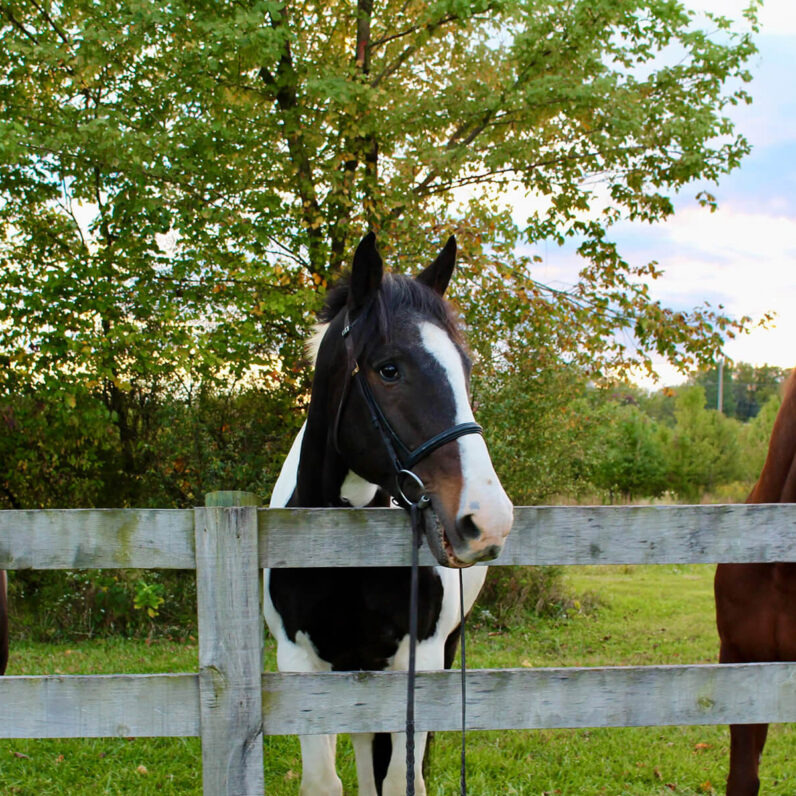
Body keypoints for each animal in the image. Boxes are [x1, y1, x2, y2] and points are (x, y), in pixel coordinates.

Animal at [264, 232, 514, 796]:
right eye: (390, 369)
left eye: (465, 369)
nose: (488, 519)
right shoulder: (301, 664)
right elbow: (325, 783)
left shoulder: (415, 660)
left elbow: (404, 780)